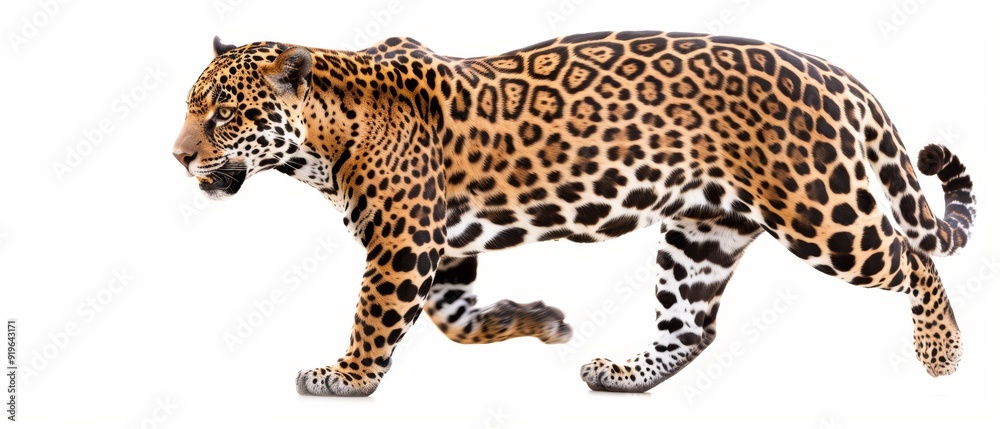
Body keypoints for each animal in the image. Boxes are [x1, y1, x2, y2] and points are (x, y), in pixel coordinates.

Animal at [173, 32, 976, 396]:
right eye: (191, 107)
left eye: (224, 116)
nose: (177, 157)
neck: (321, 139)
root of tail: (837, 73)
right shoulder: (443, 245)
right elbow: (455, 318)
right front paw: (537, 321)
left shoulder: (403, 242)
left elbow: (376, 317)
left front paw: (345, 376)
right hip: (702, 231)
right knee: (692, 325)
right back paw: (623, 373)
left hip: (823, 213)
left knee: (915, 258)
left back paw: (941, 352)